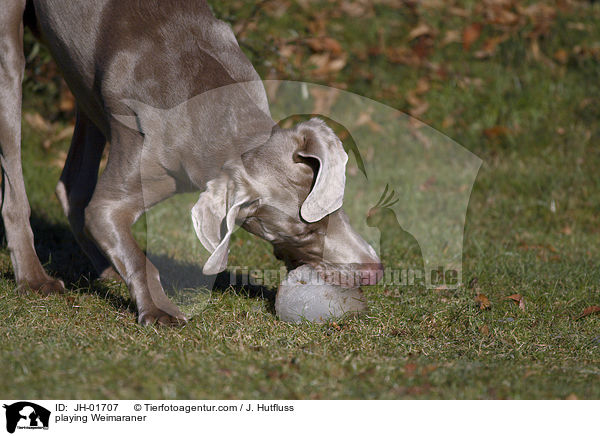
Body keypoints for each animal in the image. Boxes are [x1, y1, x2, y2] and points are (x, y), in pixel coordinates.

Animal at [0, 0, 382, 326]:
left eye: (336, 207)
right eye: (305, 232)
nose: (375, 271)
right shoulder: (114, 198)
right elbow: (132, 249)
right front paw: (159, 311)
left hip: (84, 86)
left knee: (72, 186)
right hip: (11, 51)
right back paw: (34, 278)